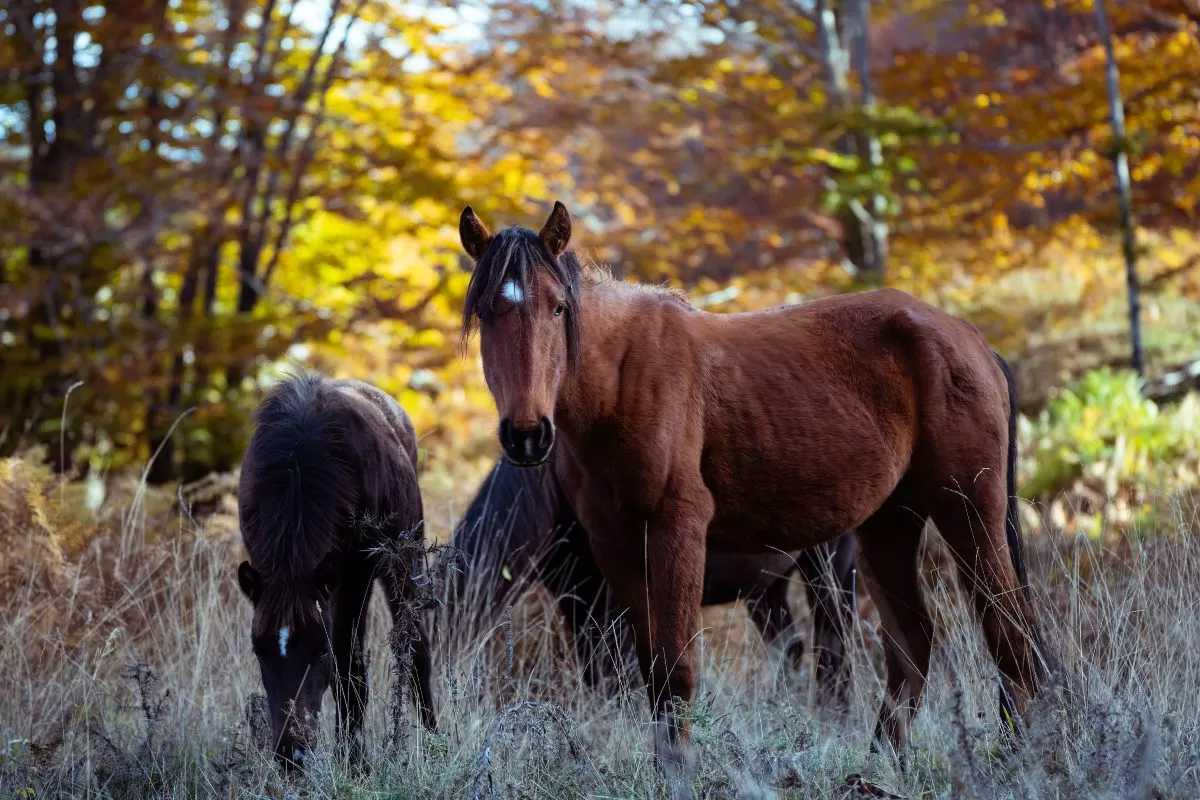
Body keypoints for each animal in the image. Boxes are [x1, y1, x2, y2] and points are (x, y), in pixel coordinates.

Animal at [236, 376, 439, 767]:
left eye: (319, 650)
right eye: (258, 650)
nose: (292, 753)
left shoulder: (355, 572)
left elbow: (349, 667)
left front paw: (354, 762)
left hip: (403, 562)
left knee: (416, 648)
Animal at [446, 453, 859, 690]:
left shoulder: (611, 601)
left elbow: (623, 674)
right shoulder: (578, 598)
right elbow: (601, 674)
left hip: (831, 565)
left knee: (833, 647)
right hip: (767, 585)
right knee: (790, 647)